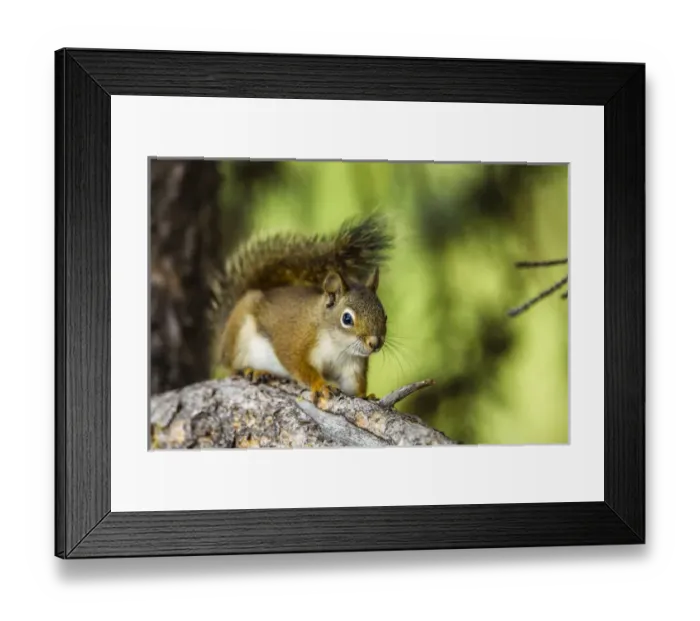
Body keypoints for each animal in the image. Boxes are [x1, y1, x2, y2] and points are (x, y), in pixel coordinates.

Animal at [209, 215, 393, 408]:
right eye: (347, 319)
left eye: (385, 316)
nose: (375, 343)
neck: (338, 345)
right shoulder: (296, 341)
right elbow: (299, 366)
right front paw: (320, 385)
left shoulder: (352, 365)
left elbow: (354, 385)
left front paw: (365, 396)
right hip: (238, 336)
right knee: (230, 366)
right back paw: (252, 370)